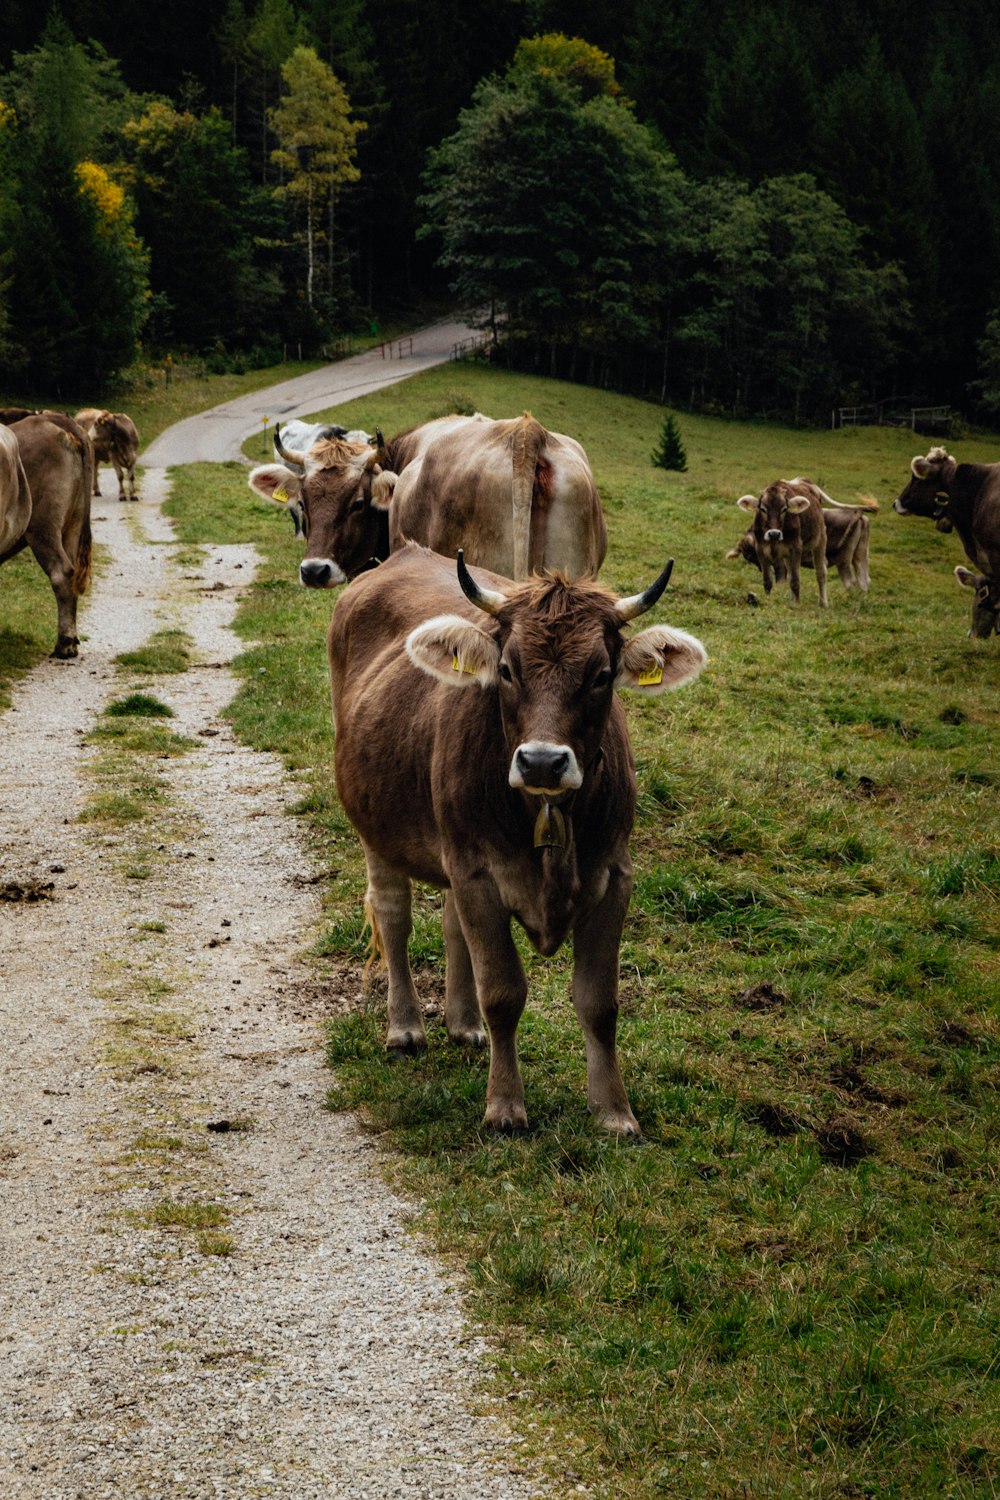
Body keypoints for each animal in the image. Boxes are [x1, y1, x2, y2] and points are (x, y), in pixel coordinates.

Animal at [328, 546, 704, 1128]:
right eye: (506, 670)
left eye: (601, 675)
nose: (543, 761)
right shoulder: (478, 874)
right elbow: (503, 993)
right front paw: (505, 1105)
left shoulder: (613, 877)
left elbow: (599, 1002)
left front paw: (613, 1111)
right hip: (375, 825)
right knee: (393, 917)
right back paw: (405, 1026)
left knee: (450, 924)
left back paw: (462, 1024)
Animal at [728, 489, 875, 588]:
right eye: (748, 557)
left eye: (752, 554)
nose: (761, 569)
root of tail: (860, 516)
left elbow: (783, 579)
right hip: (860, 556)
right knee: (864, 580)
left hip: (844, 561)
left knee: (851, 581)